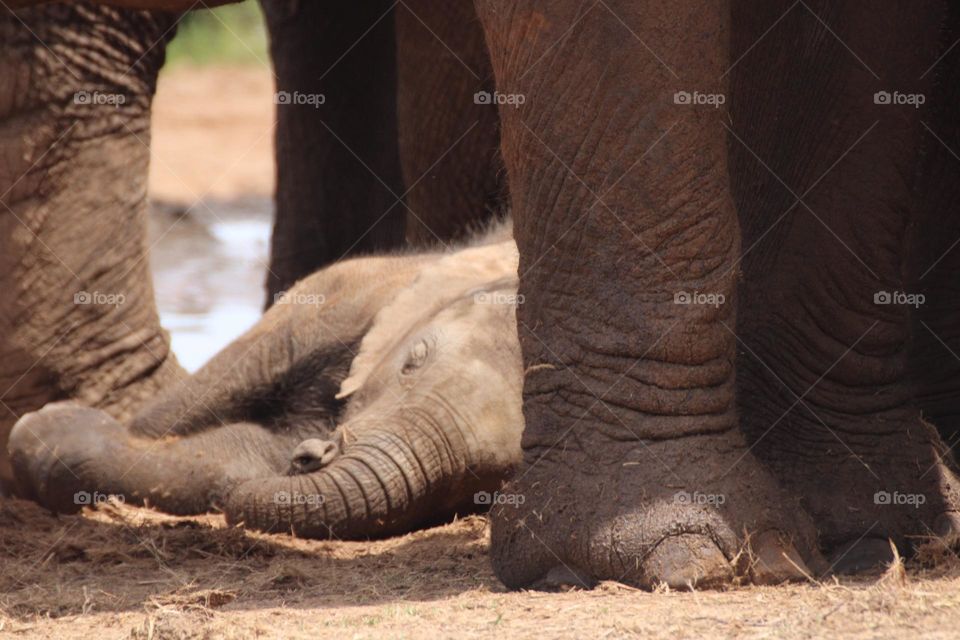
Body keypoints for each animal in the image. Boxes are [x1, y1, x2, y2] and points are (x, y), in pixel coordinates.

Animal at [5, 228, 524, 536]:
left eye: (489, 479)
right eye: (412, 362)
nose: (312, 455)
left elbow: (230, 462)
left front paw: (47, 435)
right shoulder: (342, 301)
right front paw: (45, 429)